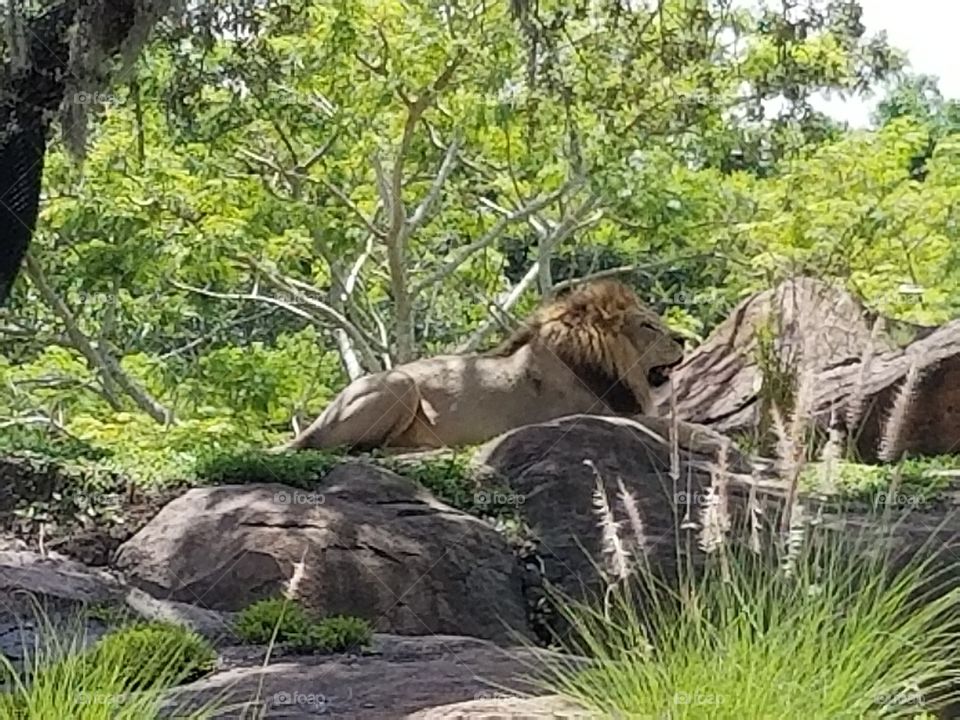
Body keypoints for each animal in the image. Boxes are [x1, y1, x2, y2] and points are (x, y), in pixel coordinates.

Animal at [276, 280, 684, 452]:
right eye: (647, 325)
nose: (683, 339)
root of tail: (319, 418)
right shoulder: (598, 413)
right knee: (344, 448)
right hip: (402, 383)